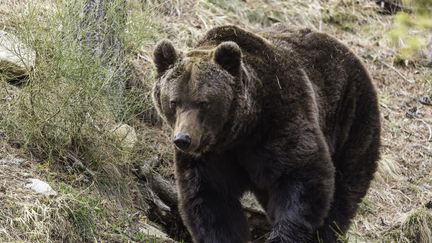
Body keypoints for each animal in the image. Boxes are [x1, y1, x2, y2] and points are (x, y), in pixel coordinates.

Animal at [153, 25, 382, 243]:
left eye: (203, 103)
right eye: (173, 102)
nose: (183, 139)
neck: (240, 132)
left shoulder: (281, 120)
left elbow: (304, 176)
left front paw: (283, 235)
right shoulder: (211, 156)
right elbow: (211, 202)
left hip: (352, 115)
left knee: (346, 187)